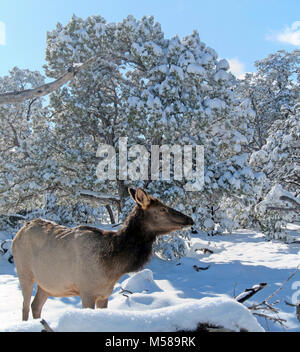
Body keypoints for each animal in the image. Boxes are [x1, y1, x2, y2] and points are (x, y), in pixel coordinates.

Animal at [11, 188, 193, 320]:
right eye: (162, 209)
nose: (189, 219)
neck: (114, 266)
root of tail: (21, 229)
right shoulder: (87, 291)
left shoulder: (104, 294)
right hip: (24, 272)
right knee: (25, 306)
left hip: (48, 283)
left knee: (36, 306)